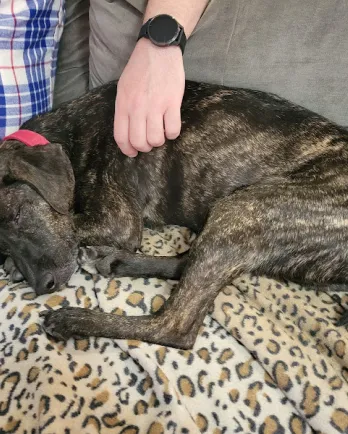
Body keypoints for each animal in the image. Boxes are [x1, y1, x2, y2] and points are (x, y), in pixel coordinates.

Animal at [0, 79, 348, 348]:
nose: (42, 285)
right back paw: (116, 261)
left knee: (174, 327)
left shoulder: (117, 221)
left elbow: (71, 226)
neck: (67, 135)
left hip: (245, 208)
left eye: (18, 213)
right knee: (187, 261)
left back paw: (73, 319)